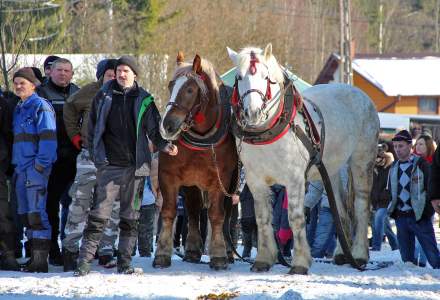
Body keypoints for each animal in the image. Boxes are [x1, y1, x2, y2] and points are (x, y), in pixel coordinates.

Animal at [154, 52, 239, 270]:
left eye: (190, 89)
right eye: (171, 85)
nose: (167, 125)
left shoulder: (221, 179)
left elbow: (217, 215)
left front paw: (219, 254)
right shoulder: (168, 176)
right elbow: (169, 211)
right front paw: (162, 253)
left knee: (227, 213)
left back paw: (228, 250)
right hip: (192, 182)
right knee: (192, 210)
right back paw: (192, 249)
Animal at [227, 43, 378, 276]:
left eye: (265, 76)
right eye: (239, 77)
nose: (253, 112)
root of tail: (359, 93)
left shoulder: (295, 179)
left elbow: (295, 219)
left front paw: (300, 262)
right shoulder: (255, 180)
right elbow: (262, 218)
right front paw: (263, 259)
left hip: (362, 160)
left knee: (361, 205)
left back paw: (360, 254)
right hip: (332, 169)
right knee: (340, 208)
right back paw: (341, 253)